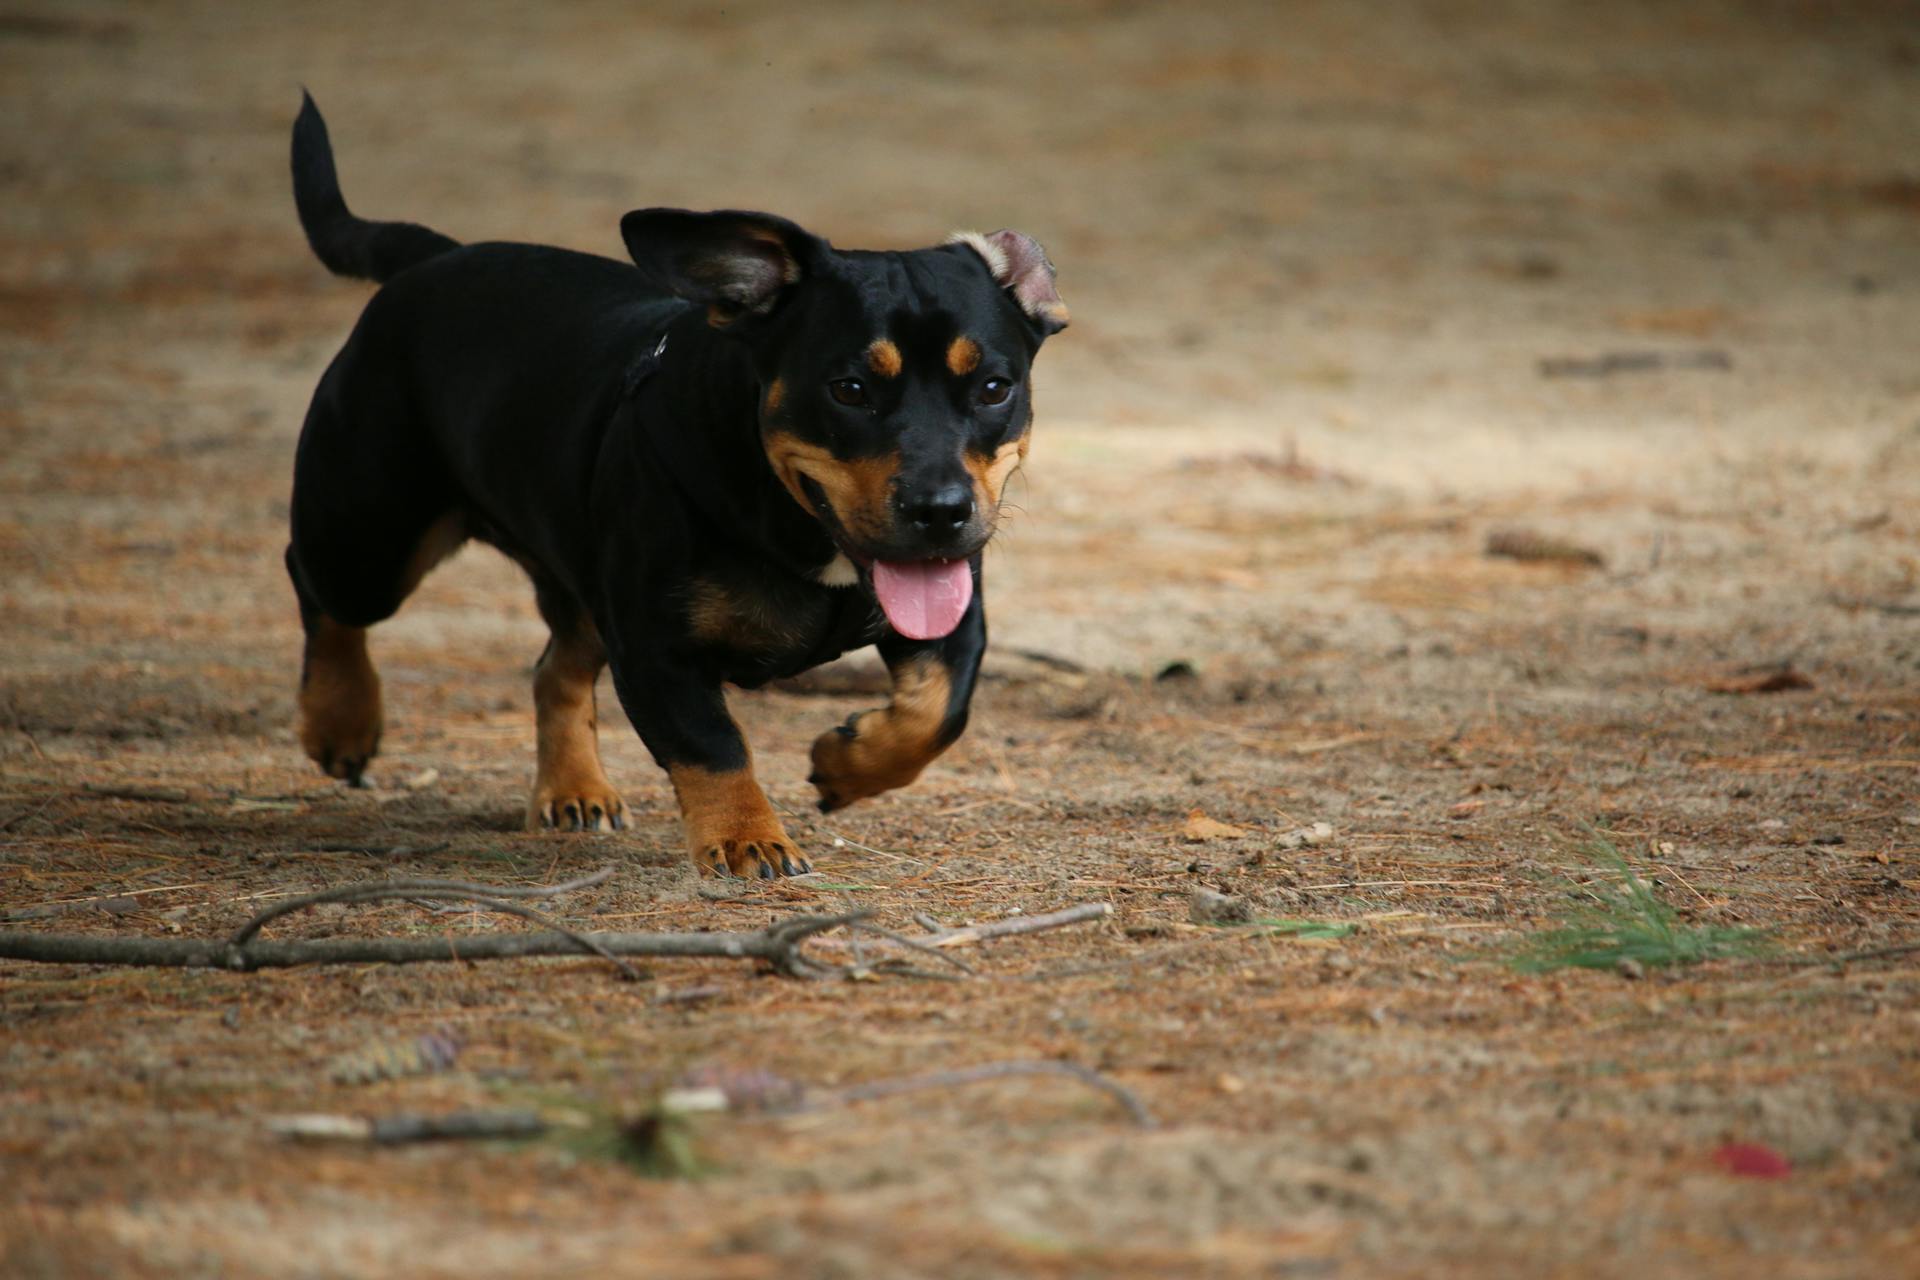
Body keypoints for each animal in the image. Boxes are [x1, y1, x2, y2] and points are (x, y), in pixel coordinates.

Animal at [282, 97, 1067, 882]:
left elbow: (938, 712)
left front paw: (845, 765)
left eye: (995, 387)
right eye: (848, 390)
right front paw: (749, 839)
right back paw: (340, 723)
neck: (799, 529)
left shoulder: (953, 619)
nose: (940, 511)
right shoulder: (657, 646)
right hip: (370, 538)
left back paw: (574, 791)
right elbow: (711, 745)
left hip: (579, 582)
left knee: (553, 668)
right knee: (321, 590)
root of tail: (432, 259)